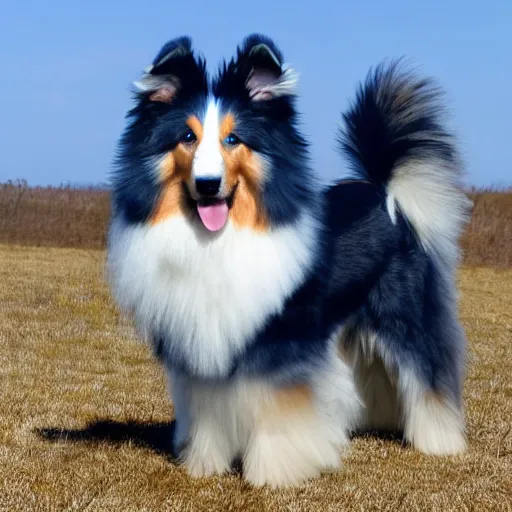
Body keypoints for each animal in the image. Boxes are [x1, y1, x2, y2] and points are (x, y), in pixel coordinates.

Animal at [108, 33, 472, 488]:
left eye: (233, 140)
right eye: (187, 137)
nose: (208, 185)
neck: (221, 239)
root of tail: (385, 192)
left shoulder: (282, 341)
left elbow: (277, 407)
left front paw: (275, 472)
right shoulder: (206, 344)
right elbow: (209, 406)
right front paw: (204, 464)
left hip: (403, 315)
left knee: (428, 372)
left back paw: (439, 440)